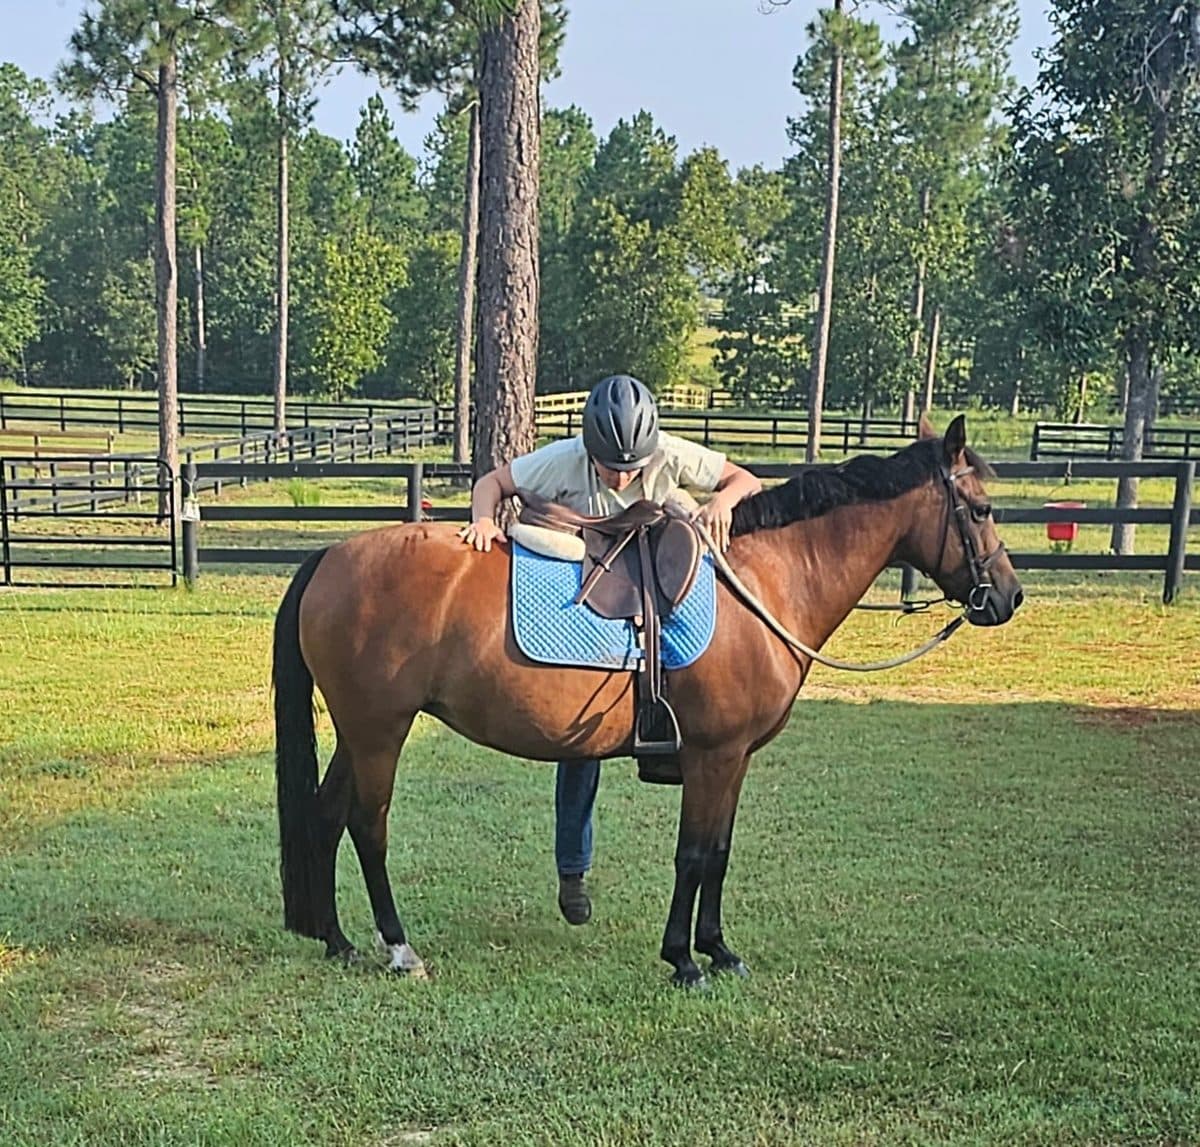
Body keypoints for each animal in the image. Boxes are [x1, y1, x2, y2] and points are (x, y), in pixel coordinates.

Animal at [272, 414, 1022, 986]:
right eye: (982, 510)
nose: (1009, 598)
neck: (762, 582)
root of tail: (330, 558)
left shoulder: (733, 759)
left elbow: (718, 850)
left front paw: (718, 950)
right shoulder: (713, 756)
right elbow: (693, 854)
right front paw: (684, 960)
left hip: (359, 732)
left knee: (326, 815)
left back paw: (337, 940)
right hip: (380, 730)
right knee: (368, 826)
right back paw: (399, 948)